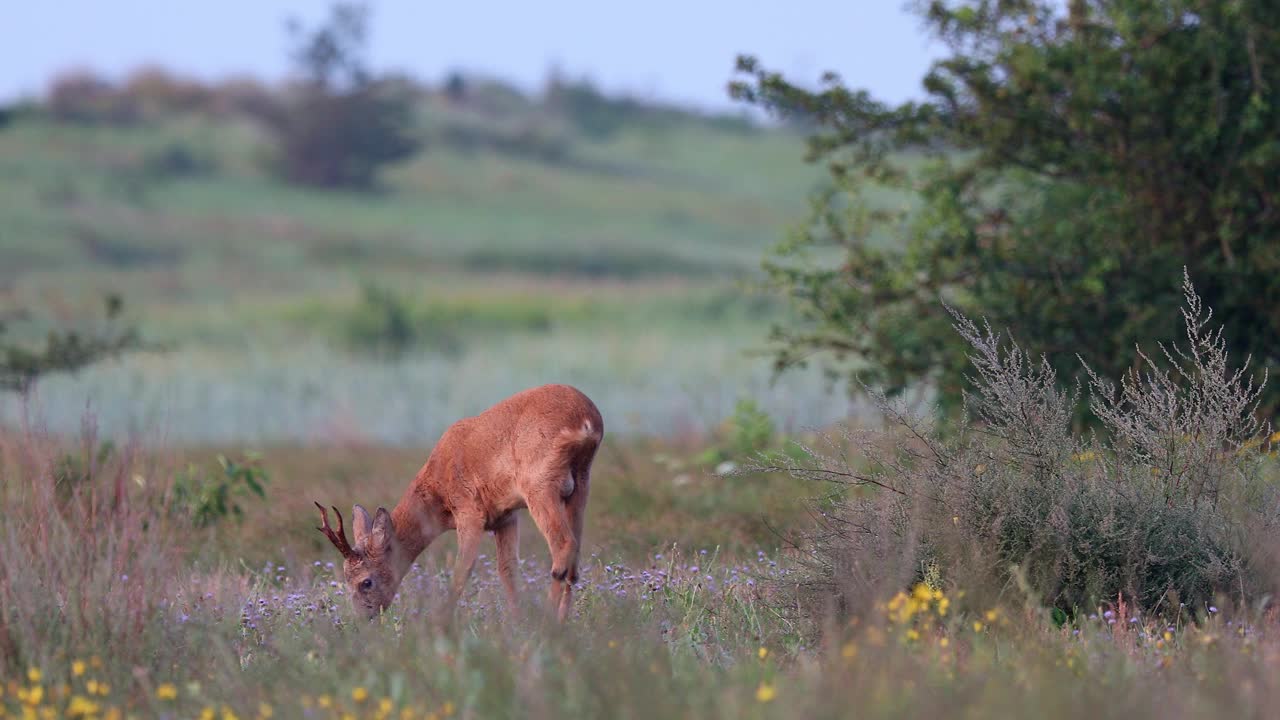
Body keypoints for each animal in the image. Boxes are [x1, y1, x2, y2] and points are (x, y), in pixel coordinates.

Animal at [314, 384, 604, 620]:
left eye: (366, 582)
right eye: (345, 579)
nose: (364, 619)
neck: (437, 491)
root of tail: (587, 417)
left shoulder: (470, 512)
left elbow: (462, 569)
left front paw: (442, 622)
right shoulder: (505, 517)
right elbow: (507, 570)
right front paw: (517, 621)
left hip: (540, 484)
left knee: (563, 546)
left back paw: (549, 622)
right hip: (580, 484)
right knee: (574, 558)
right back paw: (562, 621)